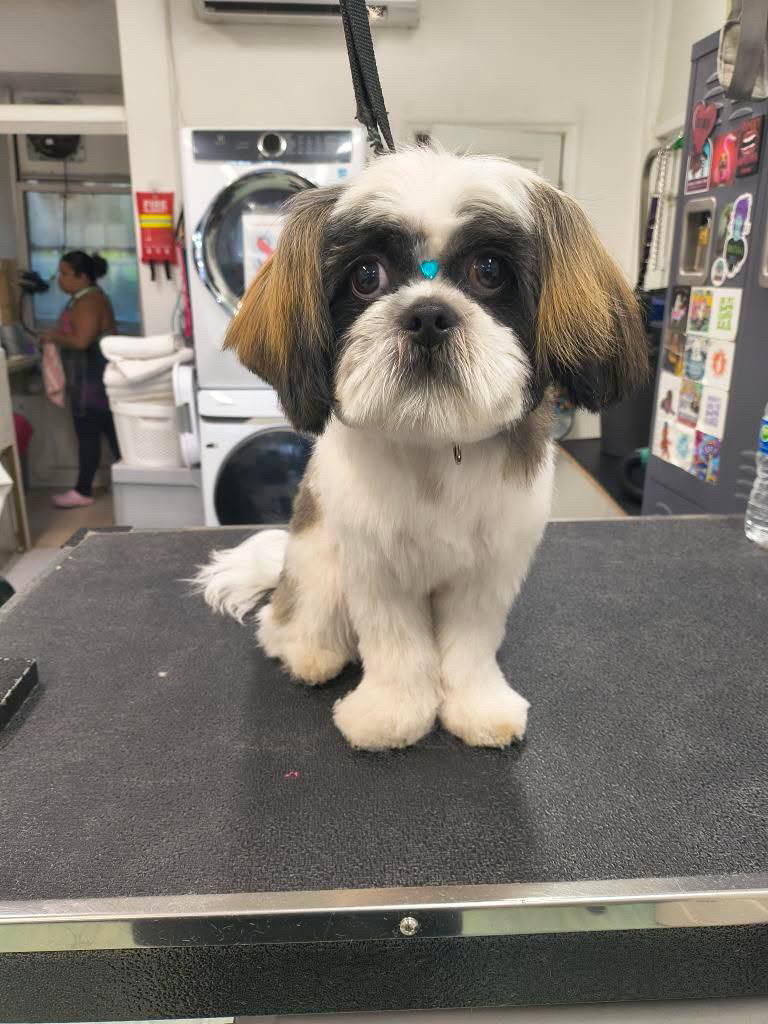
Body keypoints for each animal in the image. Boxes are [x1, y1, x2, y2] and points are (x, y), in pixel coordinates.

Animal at [196, 147, 647, 751]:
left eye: (489, 270)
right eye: (366, 275)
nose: (428, 314)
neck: (434, 444)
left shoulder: (488, 572)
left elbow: (470, 645)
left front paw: (478, 707)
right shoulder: (376, 568)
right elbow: (396, 646)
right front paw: (390, 714)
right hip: (320, 565)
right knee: (288, 619)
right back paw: (310, 653)